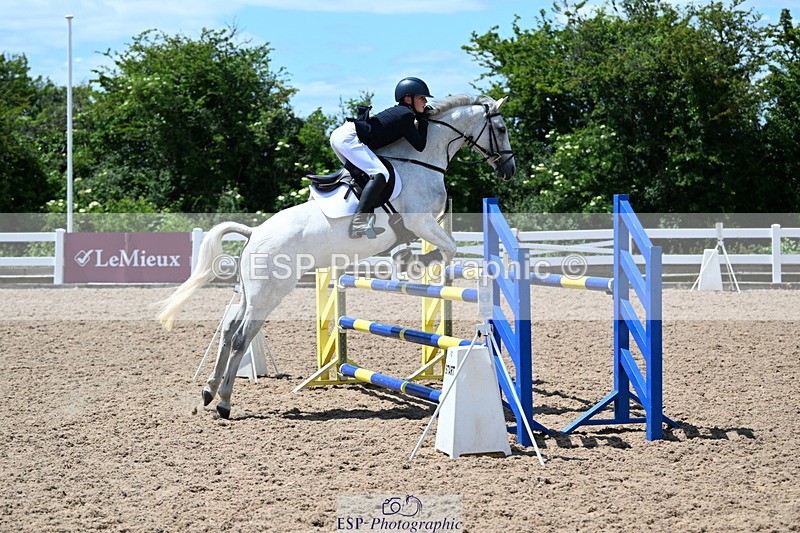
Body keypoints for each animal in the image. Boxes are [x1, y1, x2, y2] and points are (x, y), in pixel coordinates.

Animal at [156, 94, 516, 419]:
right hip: (267, 294)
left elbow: (426, 245)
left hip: (249, 292)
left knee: (229, 330)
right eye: (500, 127)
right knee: (241, 337)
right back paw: (224, 402)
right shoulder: (421, 221)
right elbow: (450, 247)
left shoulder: (419, 225)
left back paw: (208, 391)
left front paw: (407, 259)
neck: (422, 157)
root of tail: (254, 233)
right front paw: (421, 263)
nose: (509, 169)